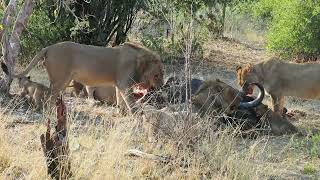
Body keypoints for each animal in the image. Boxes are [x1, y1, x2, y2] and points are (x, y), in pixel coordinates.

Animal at [11, 41, 164, 113]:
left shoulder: (118, 84)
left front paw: (122, 113)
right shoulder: (124, 84)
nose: (161, 86)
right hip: (60, 80)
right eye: (158, 75)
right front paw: (136, 116)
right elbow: (130, 103)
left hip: (62, 80)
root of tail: (48, 47)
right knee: (49, 98)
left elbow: (120, 101)